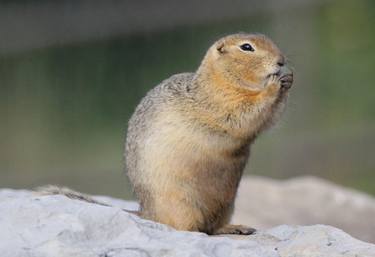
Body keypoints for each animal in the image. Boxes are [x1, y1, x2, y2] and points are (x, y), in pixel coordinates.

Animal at [125, 33, 292, 234]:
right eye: (246, 47)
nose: (281, 61)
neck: (221, 79)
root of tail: (146, 213)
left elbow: (270, 119)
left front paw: (288, 79)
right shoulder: (222, 101)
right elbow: (245, 113)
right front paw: (273, 85)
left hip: (227, 205)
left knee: (213, 227)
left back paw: (237, 227)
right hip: (182, 203)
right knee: (190, 227)